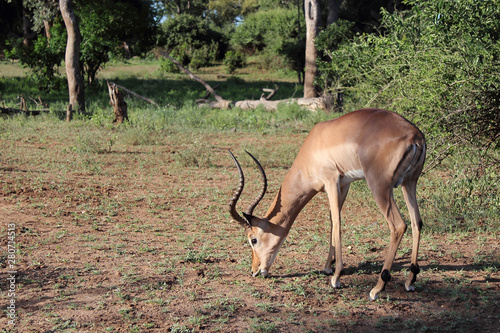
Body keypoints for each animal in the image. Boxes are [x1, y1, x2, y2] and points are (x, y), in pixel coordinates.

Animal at [229, 107, 426, 300]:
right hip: (409, 183)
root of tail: (415, 136)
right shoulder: (344, 184)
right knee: (417, 222)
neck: (313, 145)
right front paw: (327, 267)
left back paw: (377, 288)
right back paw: (410, 280)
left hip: (380, 186)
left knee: (398, 226)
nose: (254, 270)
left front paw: (336, 277)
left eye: (253, 239)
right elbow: (332, 221)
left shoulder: (331, 180)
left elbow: (337, 223)